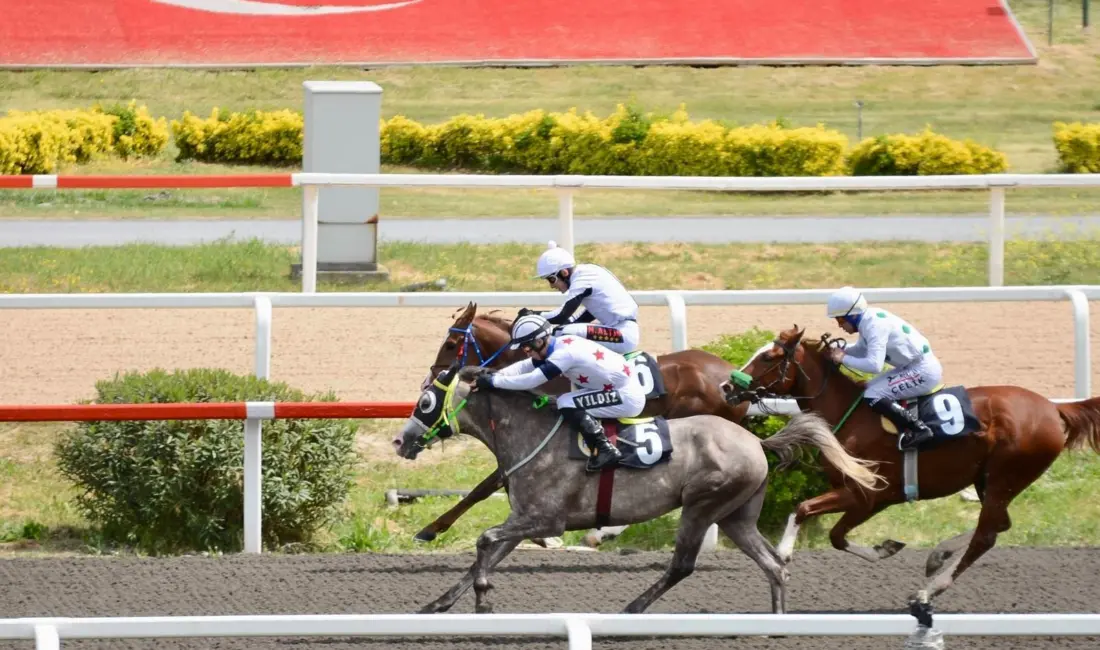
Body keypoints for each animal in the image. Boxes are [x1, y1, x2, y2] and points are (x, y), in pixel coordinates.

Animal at [391, 365, 880, 615]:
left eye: (427, 401)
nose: (400, 440)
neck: (532, 434)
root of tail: (756, 443)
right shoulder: (525, 518)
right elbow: (487, 553)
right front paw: (437, 604)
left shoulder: (545, 520)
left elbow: (484, 541)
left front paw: (482, 599)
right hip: (735, 517)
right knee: (774, 566)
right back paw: (775, 622)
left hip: (701, 507)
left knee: (682, 566)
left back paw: (630, 609)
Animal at [415, 303, 752, 547]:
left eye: (452, 343)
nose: (430, 380)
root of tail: (733, 379)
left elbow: (484, 487)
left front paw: (431, 528)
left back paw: (604, 532)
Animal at [721, 325, 1100, 620]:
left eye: (769, 357)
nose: (727, 387)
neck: (851, 415)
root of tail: (1054, 409)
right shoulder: (871, 498)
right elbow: (836, 536)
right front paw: (887, 547)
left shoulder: (867, 494)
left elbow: (807, 512)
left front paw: (783, 553)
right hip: (989, 480)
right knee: (997, 525)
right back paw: (938, 556)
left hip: (1006, 476)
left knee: (986, 534)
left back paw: (928, 591)